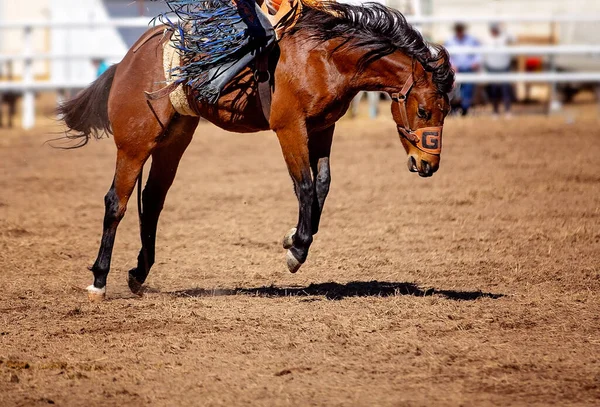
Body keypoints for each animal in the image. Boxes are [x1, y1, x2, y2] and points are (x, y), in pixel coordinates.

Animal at [58, 1, 452, 302]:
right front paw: (296, 250)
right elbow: (304, 186)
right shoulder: (290, 128)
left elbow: (322, 185)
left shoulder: (322, 128)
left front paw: (293, 236)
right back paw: (98, 281)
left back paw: (138, 274)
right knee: (117, 202)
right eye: (423, 111)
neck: (324, 58)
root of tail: (126, 62)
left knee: (152, 200)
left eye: (446, 110)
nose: (428, 164)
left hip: (173, 140)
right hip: (135, 142)